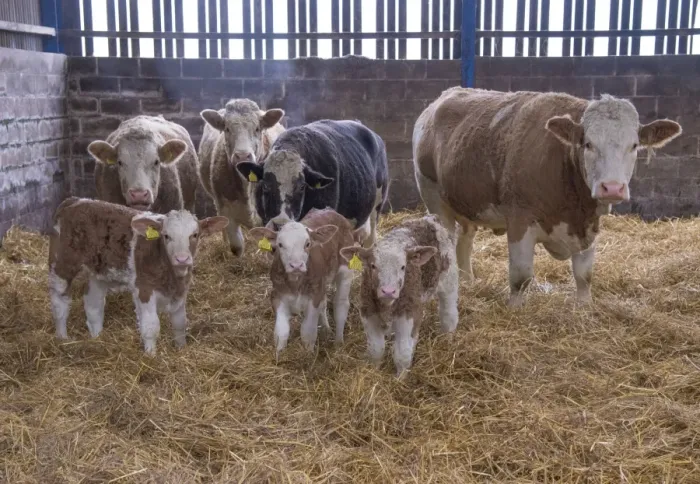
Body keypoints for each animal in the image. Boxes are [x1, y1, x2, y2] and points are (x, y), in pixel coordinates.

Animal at [413, 88, 682, 307]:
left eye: (634, 145)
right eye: (588, 144)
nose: (612, 188)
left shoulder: (588, 225)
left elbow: (584, 275)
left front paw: (584, 309)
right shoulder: (520, 219)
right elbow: (521, 276)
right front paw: (515, 310)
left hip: (467, 203)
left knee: (465, 241)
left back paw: (469, 281)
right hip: (434, 199)